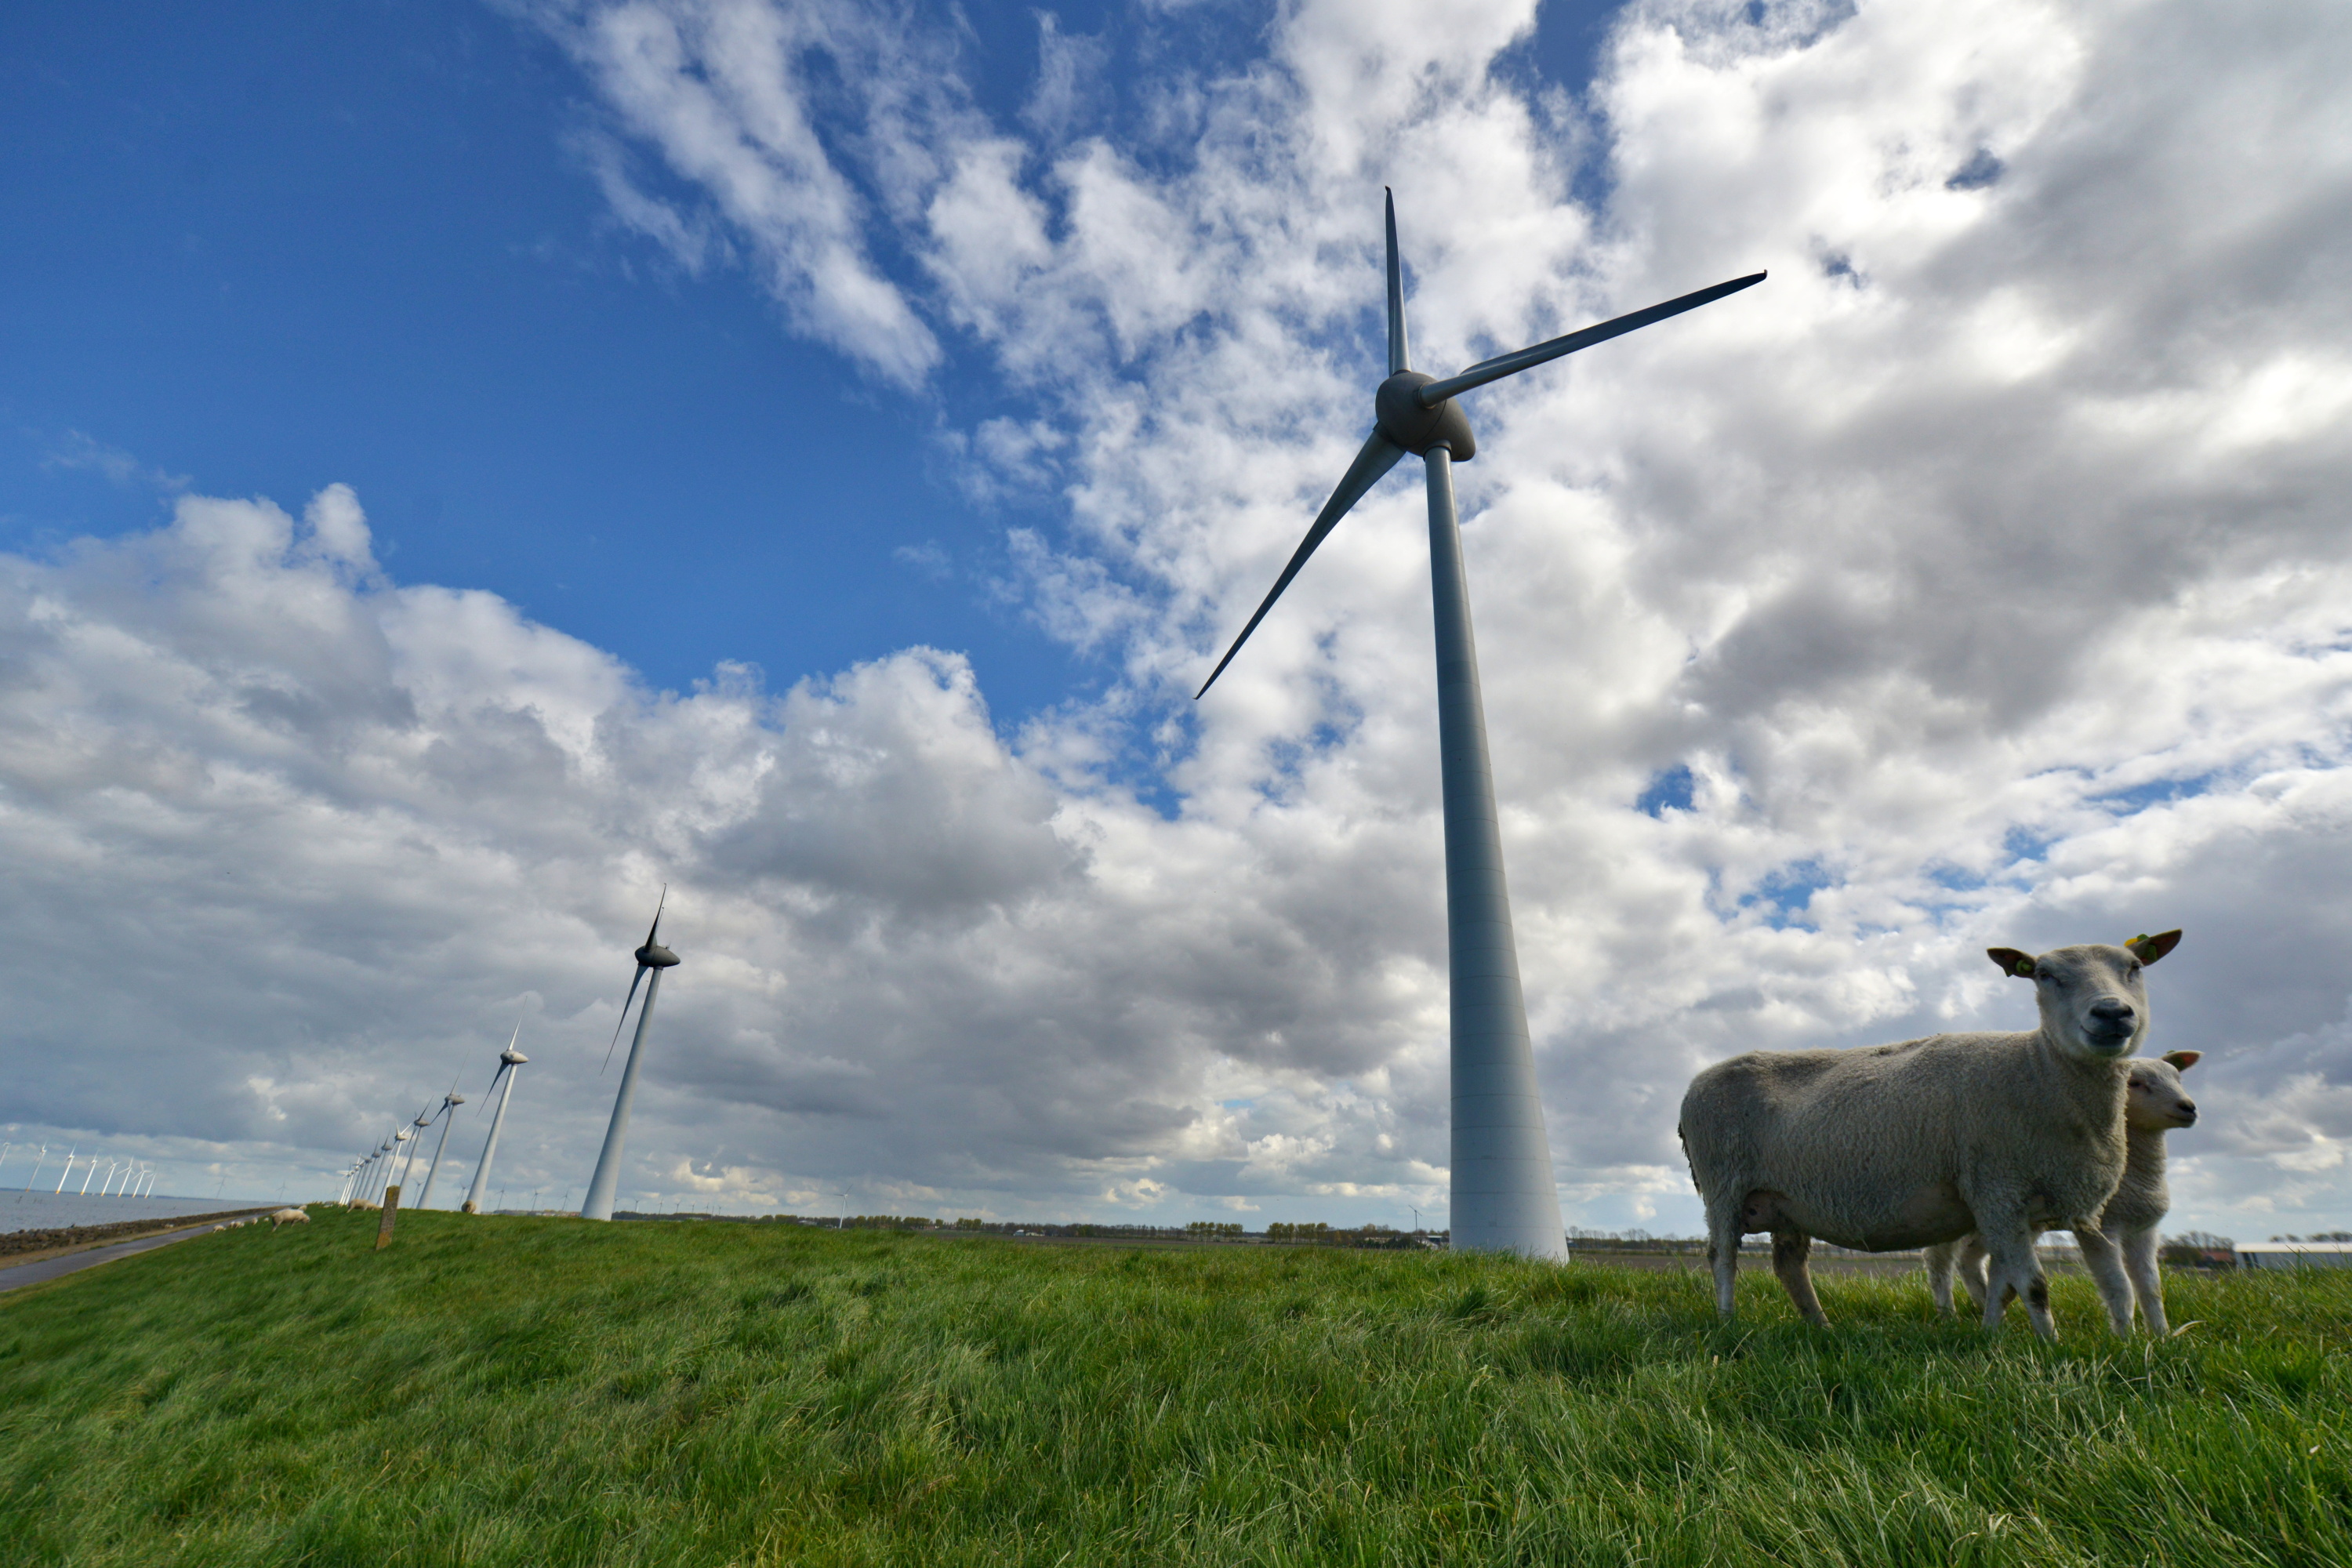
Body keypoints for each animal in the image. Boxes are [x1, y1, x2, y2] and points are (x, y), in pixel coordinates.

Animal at [1684, 926, 2173, 1345]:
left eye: (2135, 967)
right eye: (2044, 975)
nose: (2112, 1013)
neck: (2039, 1068)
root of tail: (1697, 1083)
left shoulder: (2021, 1208)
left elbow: (2004, 1284)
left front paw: (1990, 1337)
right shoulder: (1997, 1189)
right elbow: (2033, 1285)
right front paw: (2051, 1349)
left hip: (1787, 1202)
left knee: (1789, 1266)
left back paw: (1820, 1326)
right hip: (1724, 1185)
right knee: (1722, 1256)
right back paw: (1727, 1321)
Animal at [1929, 1053, 2201, 1335]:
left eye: (2178, 1078)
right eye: (2134, 1083)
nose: (2188, 1107)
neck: (2137, 1174)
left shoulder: (2143, 1229)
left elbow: (2151, 1288)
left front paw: (2162, 1336)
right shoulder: (2100, 1229)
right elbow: (2120, 1286)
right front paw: (2126, 1337)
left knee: (1970, 1260)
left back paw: (1985, 1308)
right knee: (1940, 1263)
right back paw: (1947, 1314)